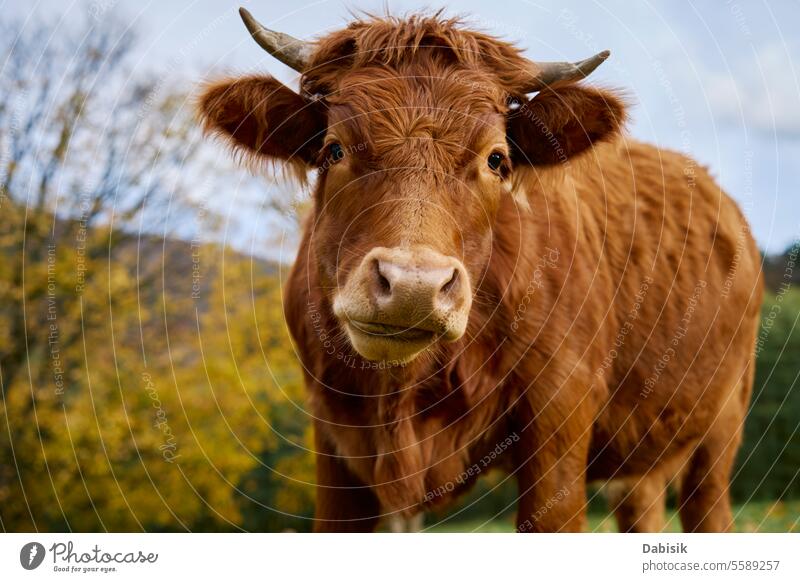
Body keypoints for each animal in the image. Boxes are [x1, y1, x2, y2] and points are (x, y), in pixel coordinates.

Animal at [198, 8, 764, 532]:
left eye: (496, 160)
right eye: (333, 148)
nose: (413, 286)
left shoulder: (558, 423)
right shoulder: (334, 437)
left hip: (722, 428)